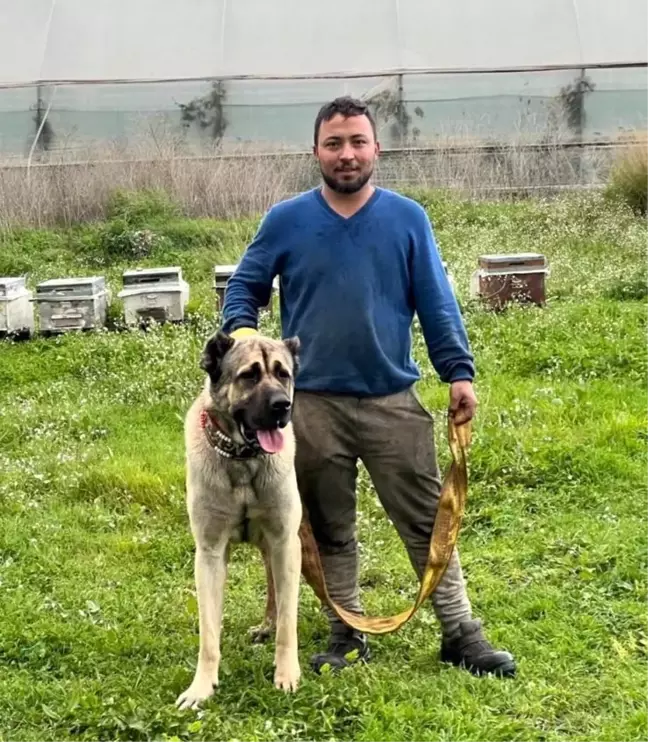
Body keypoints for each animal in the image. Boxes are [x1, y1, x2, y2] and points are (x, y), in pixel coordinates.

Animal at [177, 330, 304, 708]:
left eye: (283, 374)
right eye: (249, 376)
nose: (282, 406)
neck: (243, 459)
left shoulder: (285, 542)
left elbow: (289, 623)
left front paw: (286, 674)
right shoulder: (209, 554)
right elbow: (208, 634)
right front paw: (201, 687)